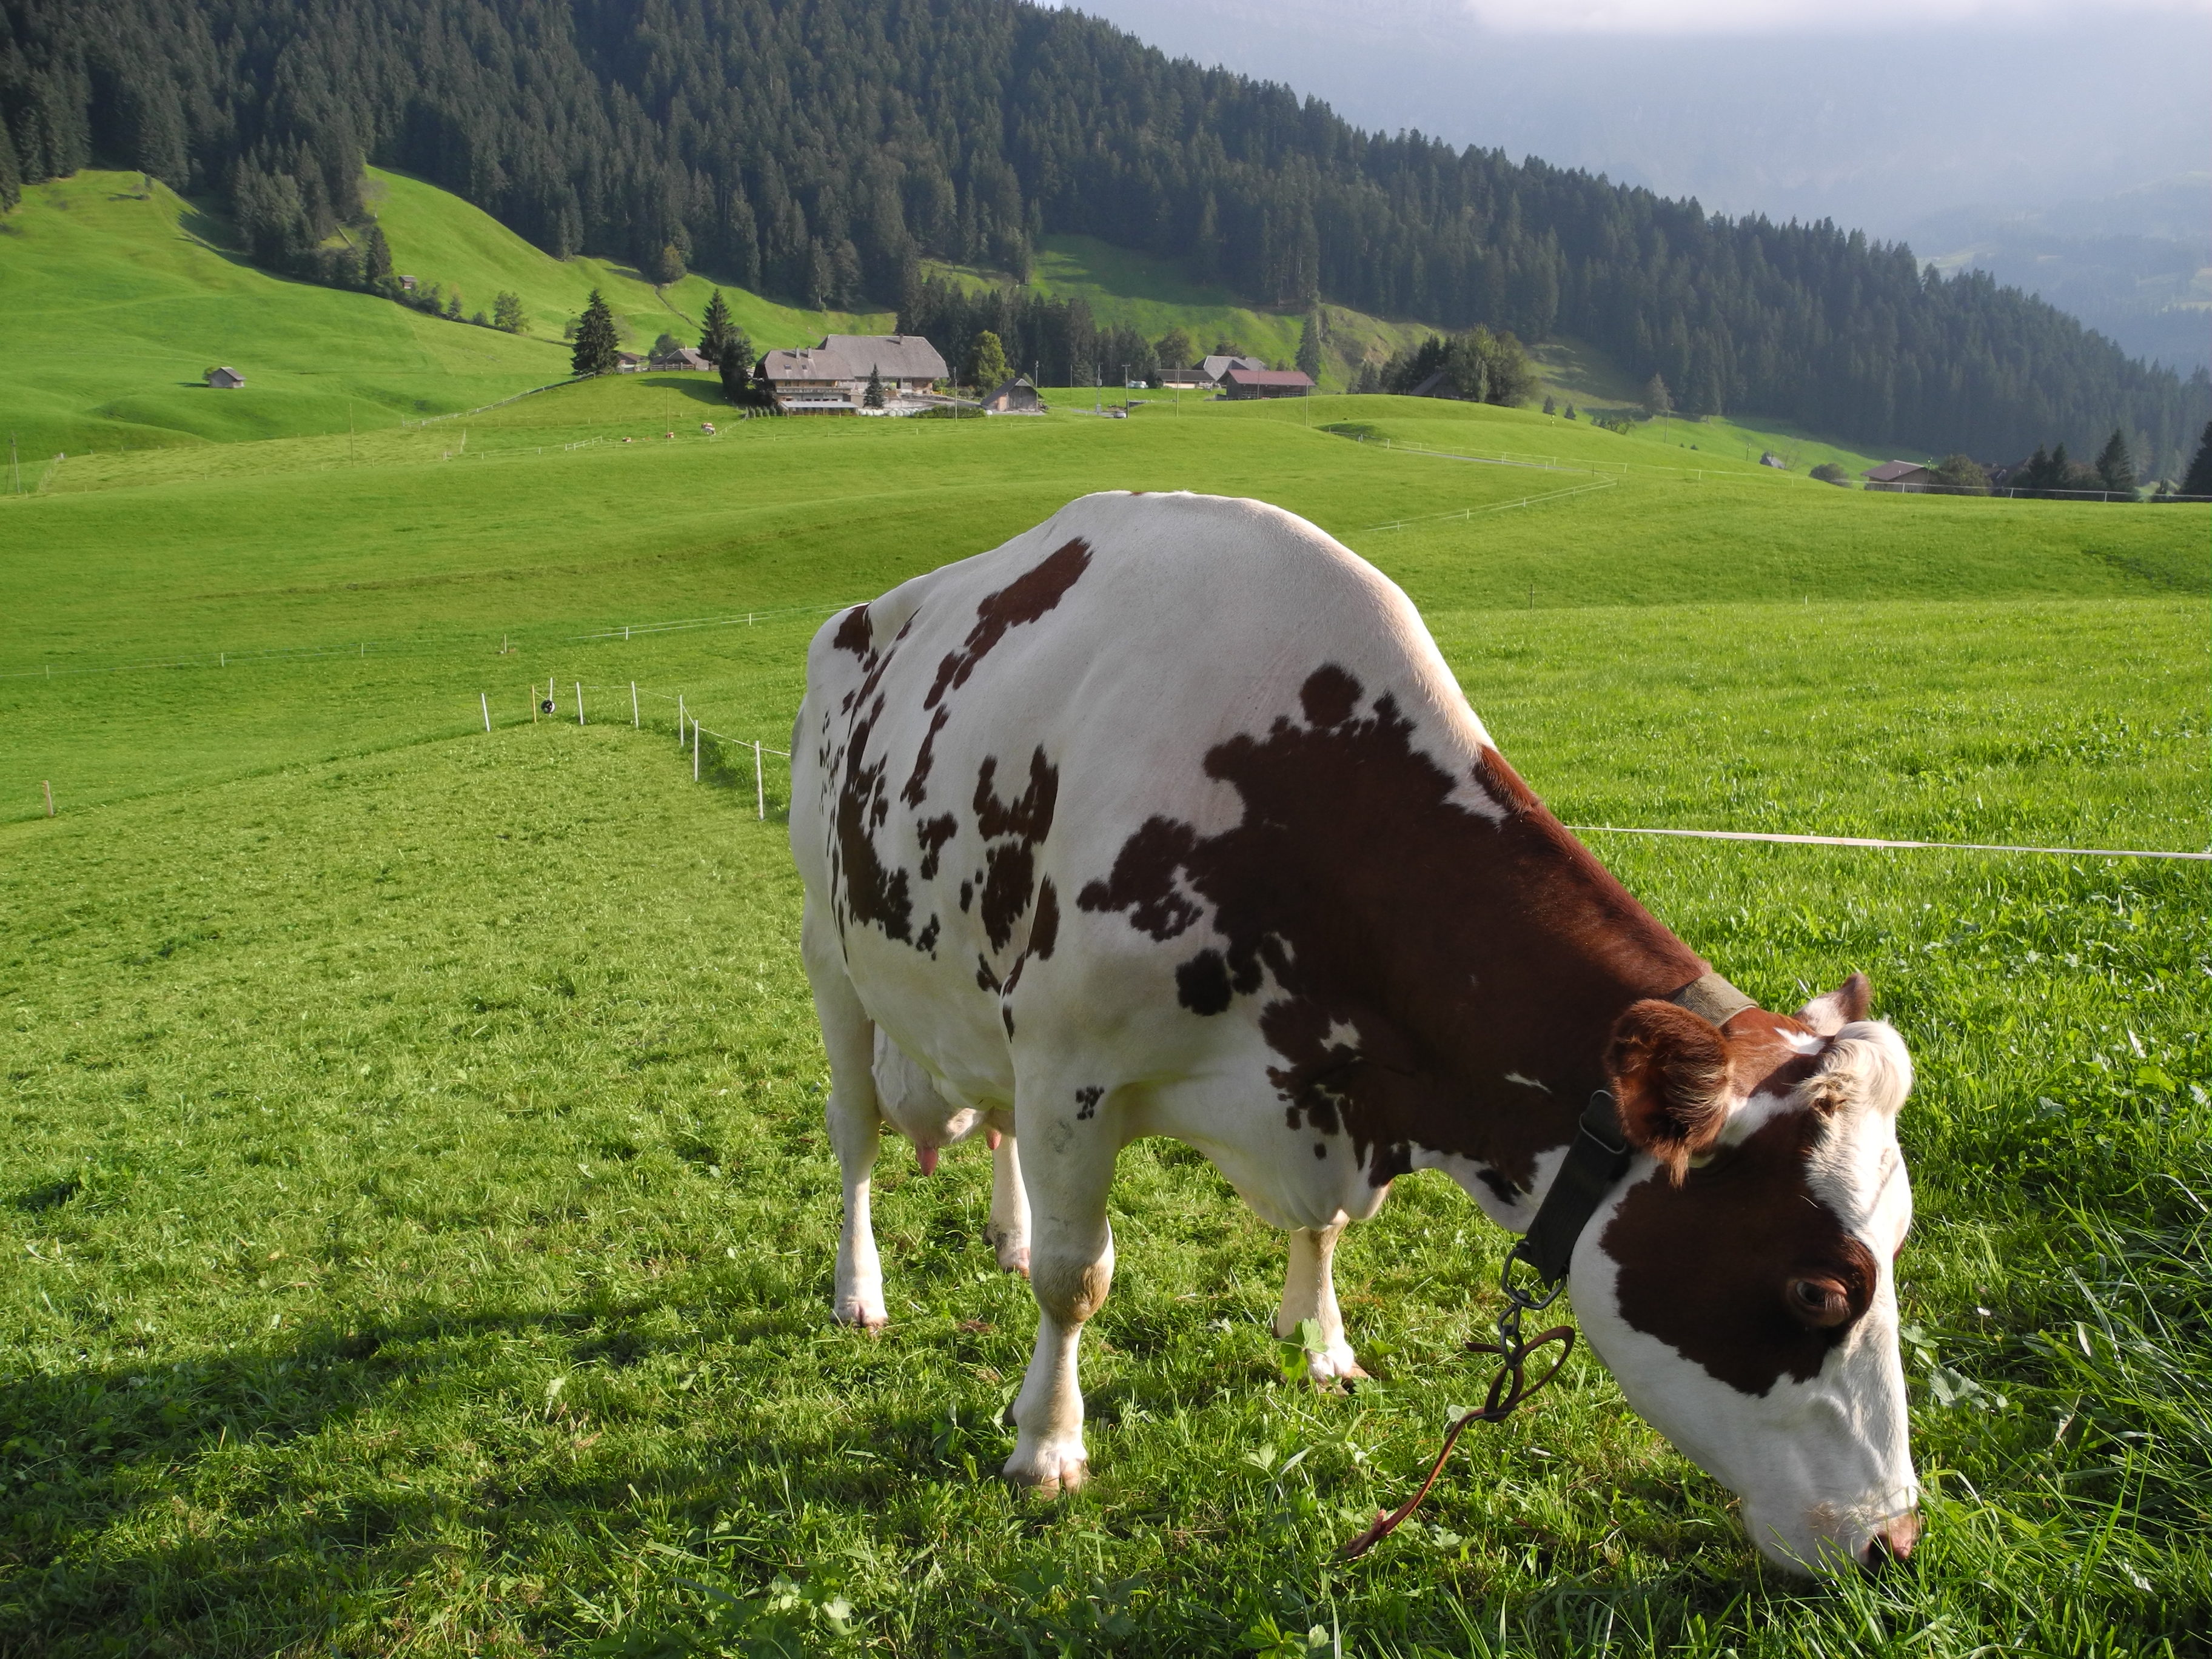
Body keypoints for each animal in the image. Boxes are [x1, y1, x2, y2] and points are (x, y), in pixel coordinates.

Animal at [791, 491, 1920, 1575]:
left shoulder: (1320, 1089)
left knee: (990, 1121)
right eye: (1819, 1290)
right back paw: (860, 1291)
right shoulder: (1071, 1066)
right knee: (854, 1133)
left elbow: (1324, 1226)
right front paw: (1046, 1444)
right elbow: (1079, 1279)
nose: (1894, 1540)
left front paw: (1320, 1342)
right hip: (829, 949)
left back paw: (1007, 1233)